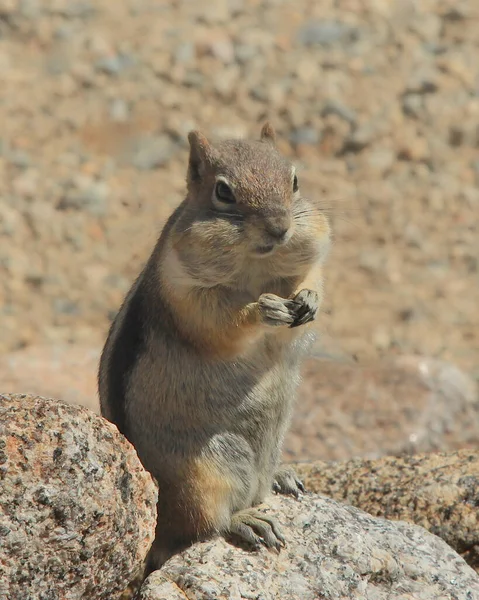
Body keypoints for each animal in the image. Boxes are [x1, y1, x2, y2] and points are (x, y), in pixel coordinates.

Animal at [97, 120, 330, 572]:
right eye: (224, 192)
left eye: (294, 180)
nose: (280, 228)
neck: (259, 267)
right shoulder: (187, 295)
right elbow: (222, 324)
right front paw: (264, 309)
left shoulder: (311, 249)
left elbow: (313, 277)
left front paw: (308, 299)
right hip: (203, 474)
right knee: (206, 523)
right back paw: (247, 520)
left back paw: (281, 476)